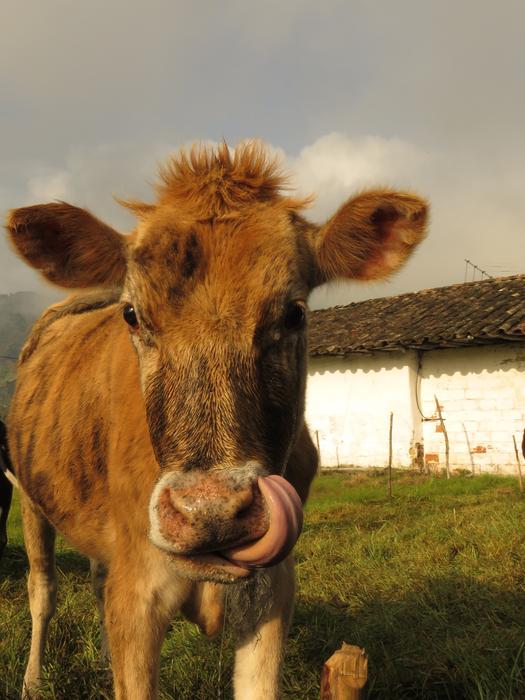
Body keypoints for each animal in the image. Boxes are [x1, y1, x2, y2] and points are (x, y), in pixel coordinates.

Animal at [5, 141, 428, 699]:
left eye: (293, 312)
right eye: (132, 314)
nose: (210, 512)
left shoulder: (273, 594)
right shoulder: (137, 596)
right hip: (31, 500)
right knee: (43, 590)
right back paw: (33, 679)